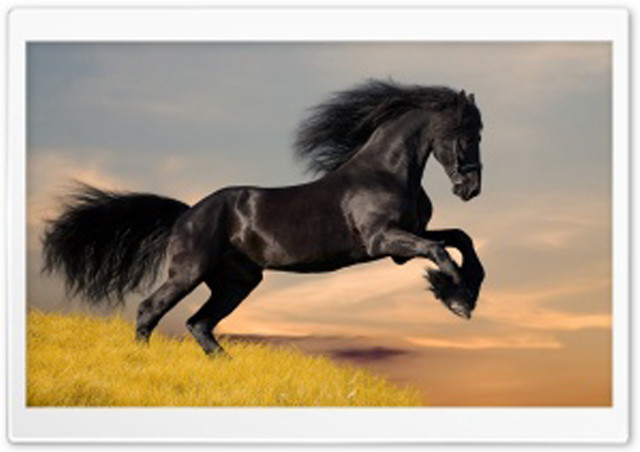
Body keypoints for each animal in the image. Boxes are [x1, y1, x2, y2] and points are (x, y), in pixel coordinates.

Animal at [42, 80, 485, 357]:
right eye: (466, 133)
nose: (471, 189)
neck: (386, 172)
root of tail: (187, 213)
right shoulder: (384, 241)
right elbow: (440, 251)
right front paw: (456, 298)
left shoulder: (404, 240)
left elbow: (460, 238)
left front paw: (464, 291)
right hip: (189, 273)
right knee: (150, 310)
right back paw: (144, 361)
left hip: (237, 281)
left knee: (199, 323)